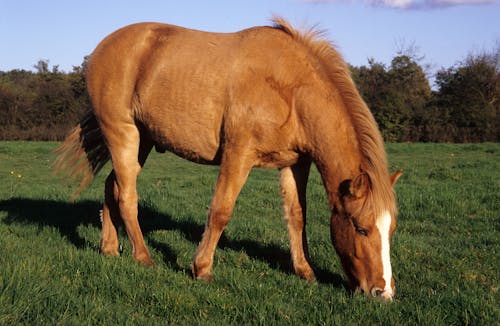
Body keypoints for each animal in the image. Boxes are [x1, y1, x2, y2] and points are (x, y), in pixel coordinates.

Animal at [55, 17, 402, 300]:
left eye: (391, 229)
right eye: (361, 228)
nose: (383, 292)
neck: (290, 87)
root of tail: (104, 46)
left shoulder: (295, 163)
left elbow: (297, 215)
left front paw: (305, 271)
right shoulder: (238, 154)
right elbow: (221, 211)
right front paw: (201, 268)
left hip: (143, 140)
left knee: (112, 187)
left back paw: (109, 248)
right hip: (122, 134)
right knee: (127, 196)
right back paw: (143, 257)